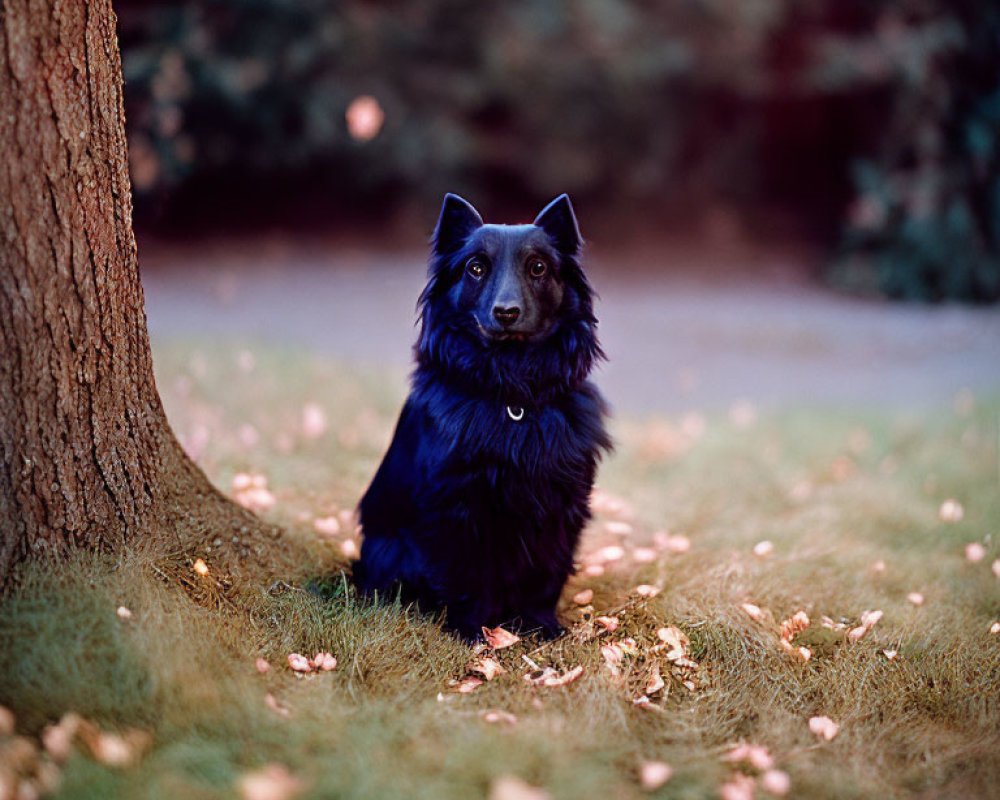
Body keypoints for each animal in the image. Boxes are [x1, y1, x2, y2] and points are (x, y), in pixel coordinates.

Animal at [356, 197, 612, 640]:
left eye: (538, 267)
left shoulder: (561, 501)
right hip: (392, 550)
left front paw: (541, 625)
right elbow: (464, 575)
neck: (513, 396)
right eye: (475, 268)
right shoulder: (457, 505)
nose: (506, 312)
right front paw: (471, 630)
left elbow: (547, 573)